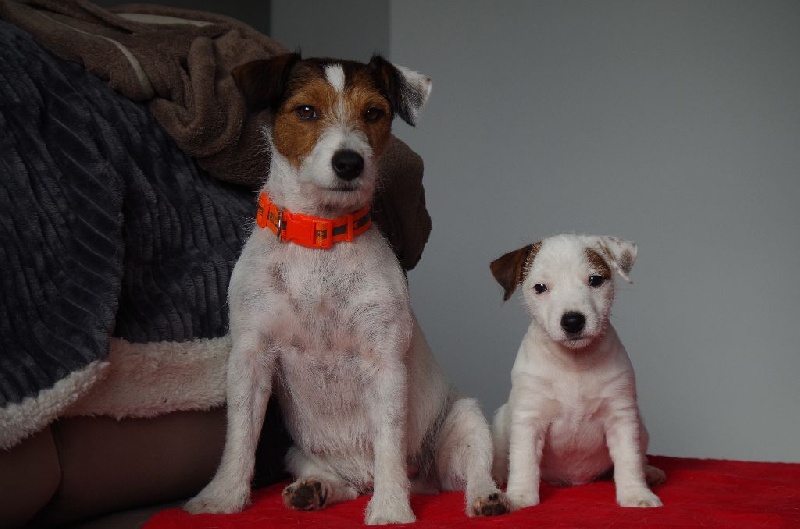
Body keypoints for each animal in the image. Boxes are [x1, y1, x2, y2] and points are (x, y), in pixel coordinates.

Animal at [184, 53, 509, 525]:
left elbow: (389, 443)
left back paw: (483, 497)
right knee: (342, 484)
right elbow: (240, 438)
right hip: (297, 452)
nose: (349, 163)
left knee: (474, 471)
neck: (321, 238)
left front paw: (391, 509)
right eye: (305, 111)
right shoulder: (251, 357)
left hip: (466, 421)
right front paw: (221, 498)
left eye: (373, 113)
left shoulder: (384, 363)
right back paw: (314, 489)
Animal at [489, 234, 665, 510]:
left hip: (642, 428)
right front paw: (520, 497)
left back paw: (650, 472)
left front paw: (636, 494)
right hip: (499, 424)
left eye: (595, 280)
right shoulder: (529, 419)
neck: (573, 364)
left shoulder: (621, 418)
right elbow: (524, 463)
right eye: (540, 287)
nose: (572, 321)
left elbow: (629, 459)